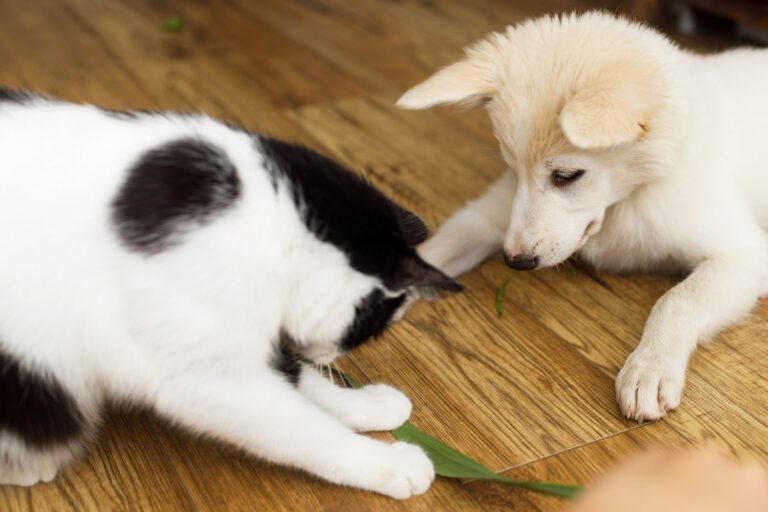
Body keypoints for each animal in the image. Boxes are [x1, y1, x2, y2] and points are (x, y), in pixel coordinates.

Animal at [0, 89, 456, 500]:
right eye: (374, 327)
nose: (334, 358)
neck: (270, 224)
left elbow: (300, 380)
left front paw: (368, 405)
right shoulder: (209, 374)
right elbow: (304, 429)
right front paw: (389, 464)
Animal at [396, 12, 768, 422]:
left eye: (567, 175)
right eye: (513, 167)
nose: (515, 262)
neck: (626, 198)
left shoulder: (744, 255)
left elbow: (676, 301)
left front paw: (649, 369)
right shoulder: (488, 217)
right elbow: (431, 252)